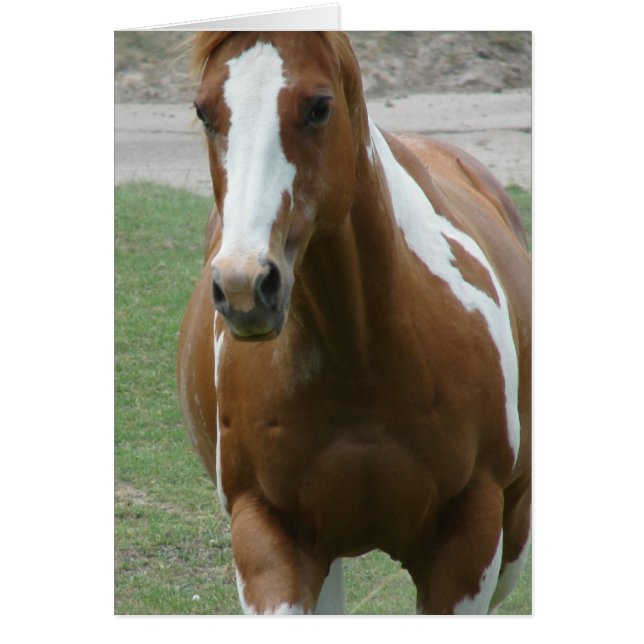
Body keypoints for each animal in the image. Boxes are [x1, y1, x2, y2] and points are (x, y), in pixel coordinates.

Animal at [177, 31, 531, 615]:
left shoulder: (469, 541)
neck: (360, 355)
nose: (245, 287)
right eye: (204, 111)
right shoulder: (267, 536)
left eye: (320, 107)